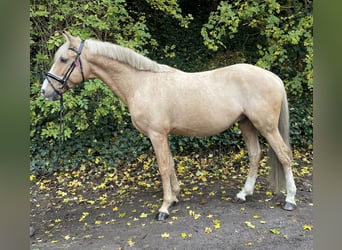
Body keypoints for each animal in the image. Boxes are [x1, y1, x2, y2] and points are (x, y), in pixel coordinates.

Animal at [40, 31, 296, 221]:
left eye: (63, 60)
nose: (45, 91)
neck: (141, 83)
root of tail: (273, 77)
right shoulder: (164, 135)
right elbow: (171, 164)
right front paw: (175, 197)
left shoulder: (157, 135)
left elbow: (163, 167)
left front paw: (164, 208)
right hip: (247, 124)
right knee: (255, 154)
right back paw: (244, 193)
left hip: (266, 126)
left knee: (284, 155)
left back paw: (290, 200)